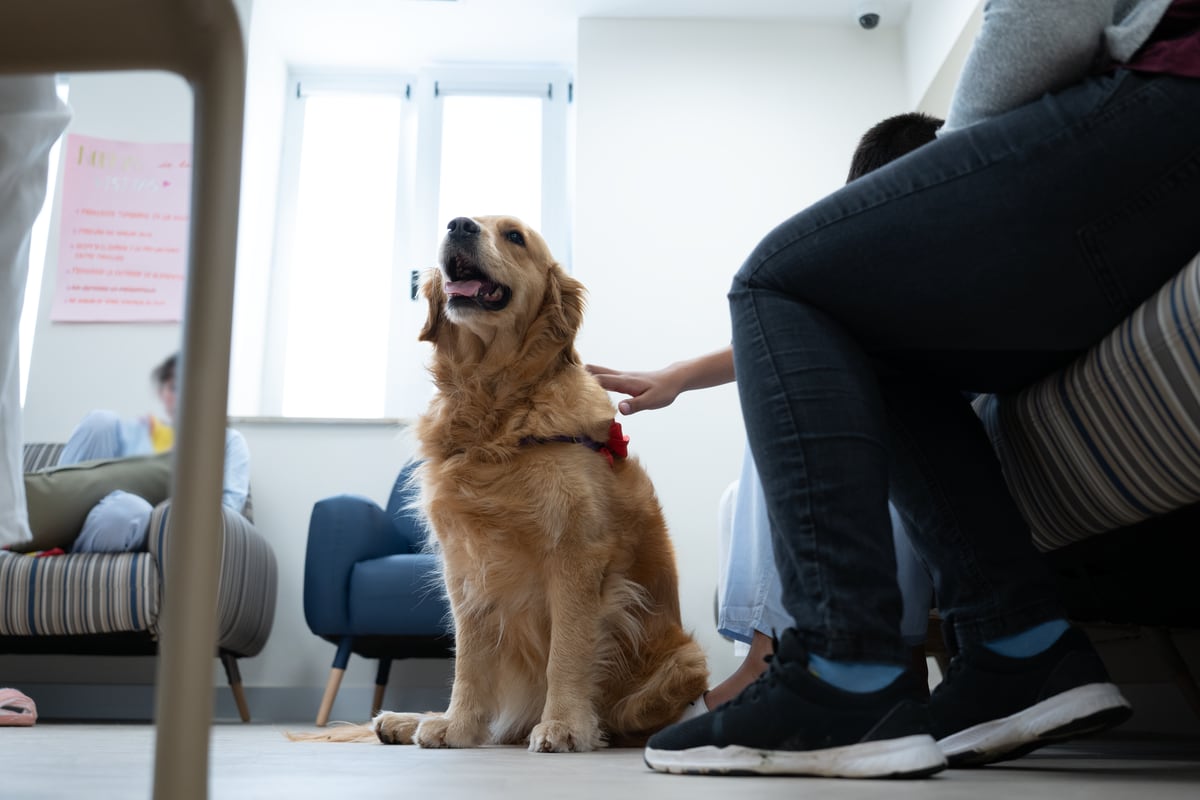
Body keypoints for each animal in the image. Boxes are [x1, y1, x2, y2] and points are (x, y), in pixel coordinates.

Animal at [300, 214, 705, 753]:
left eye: (514, 236)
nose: (459, 224)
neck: (495, 406)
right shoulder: (465, 566)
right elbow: (469, 661)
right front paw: (457, 726)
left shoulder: (577, 555)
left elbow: (567, 651)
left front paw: (565, 725)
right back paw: (410, 720)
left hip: (683, 662)